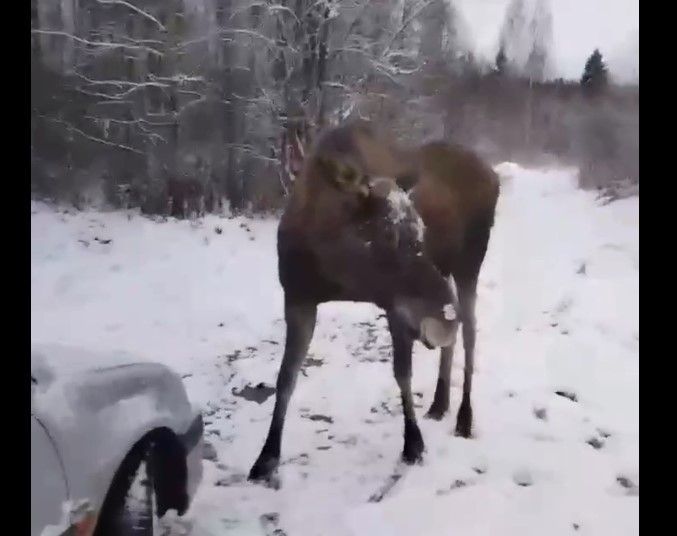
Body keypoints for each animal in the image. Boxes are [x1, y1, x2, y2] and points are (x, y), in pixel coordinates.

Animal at [247, 120, 496, 482]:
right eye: (387, 236)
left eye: (421, 232)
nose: (443, 320)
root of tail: (492, 173)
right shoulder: (298, 298)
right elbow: (285, 379)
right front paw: (266, 458)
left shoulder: (394, 304)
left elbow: (402, 373)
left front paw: (413, 443)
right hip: (449, 268)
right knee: (456, 339)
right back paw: (439, 403)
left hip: (469, 265)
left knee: (470, 333)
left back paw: (464, 417)